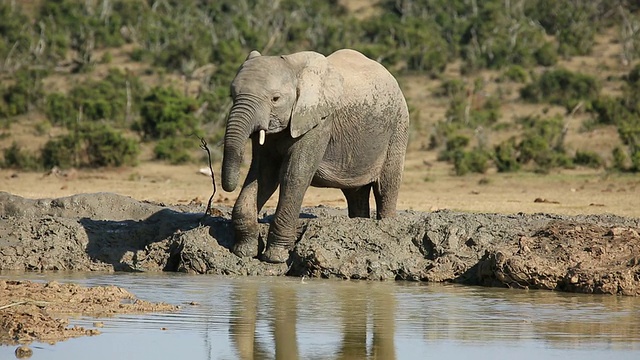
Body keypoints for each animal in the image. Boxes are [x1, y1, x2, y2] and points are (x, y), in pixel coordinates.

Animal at [220, 47, 410, 262]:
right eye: (232, 95)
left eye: (275, 99)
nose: (227, 187)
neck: (293, 66)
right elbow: (263, 175)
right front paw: (244, 252)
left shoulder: (319, 121)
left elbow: (294, 175)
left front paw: (276, 257)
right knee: (355, 192)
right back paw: (359, 222)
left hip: (398, 125)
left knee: (386, 186)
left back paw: (386, 223)